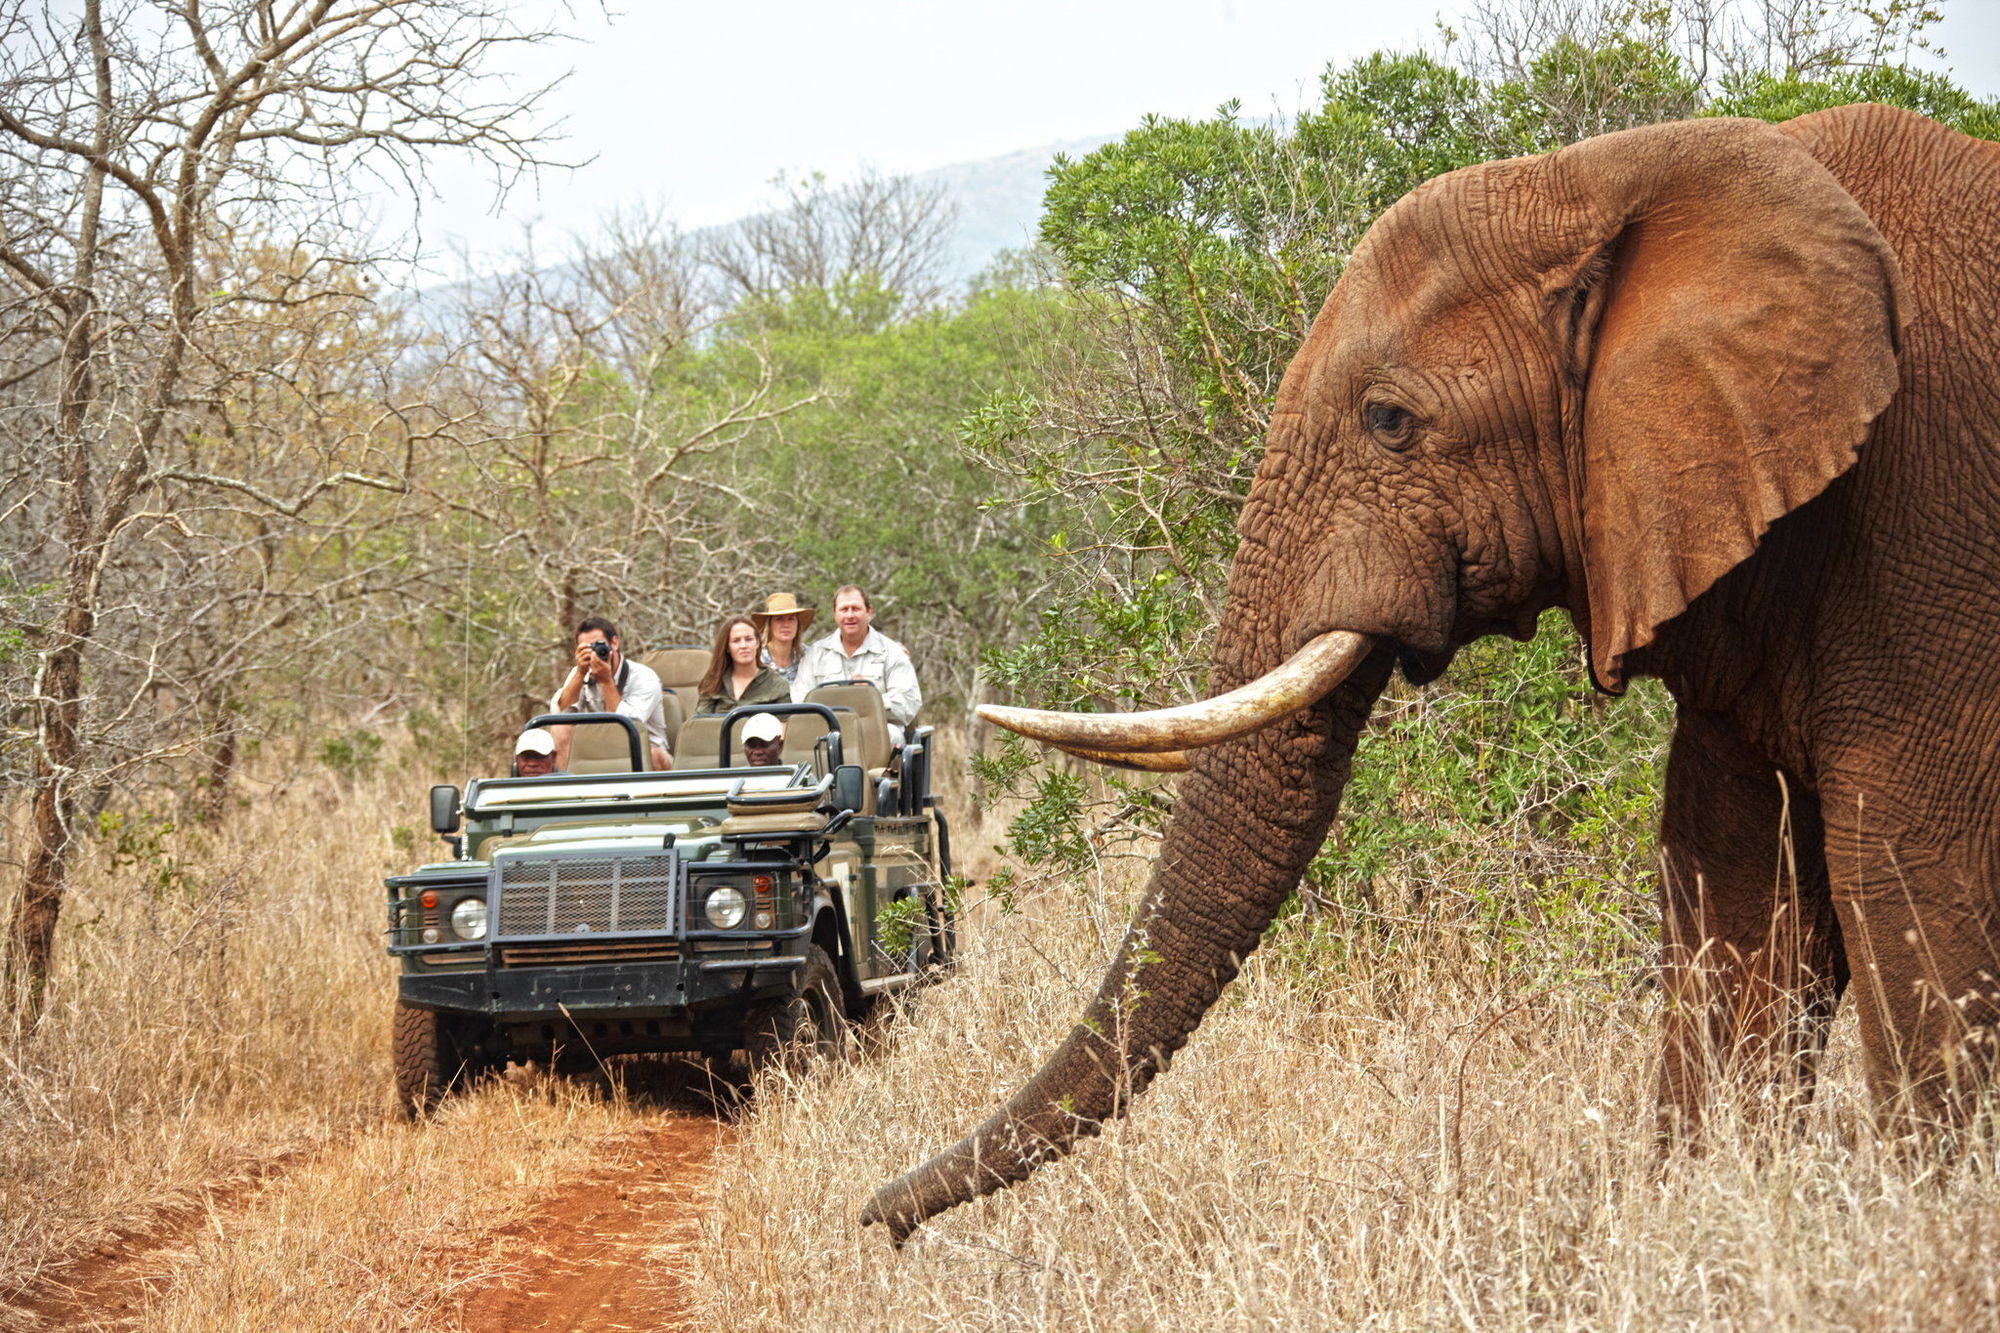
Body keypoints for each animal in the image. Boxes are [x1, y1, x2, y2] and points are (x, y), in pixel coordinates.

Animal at [868, 106, 2000, 1248]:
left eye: (1388, 420)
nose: (880, 1222)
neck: (1618, 178)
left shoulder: (1926, 528)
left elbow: (1910, 879)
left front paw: (1921, 1228)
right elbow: (1739, 892)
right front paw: (1708, 1213)